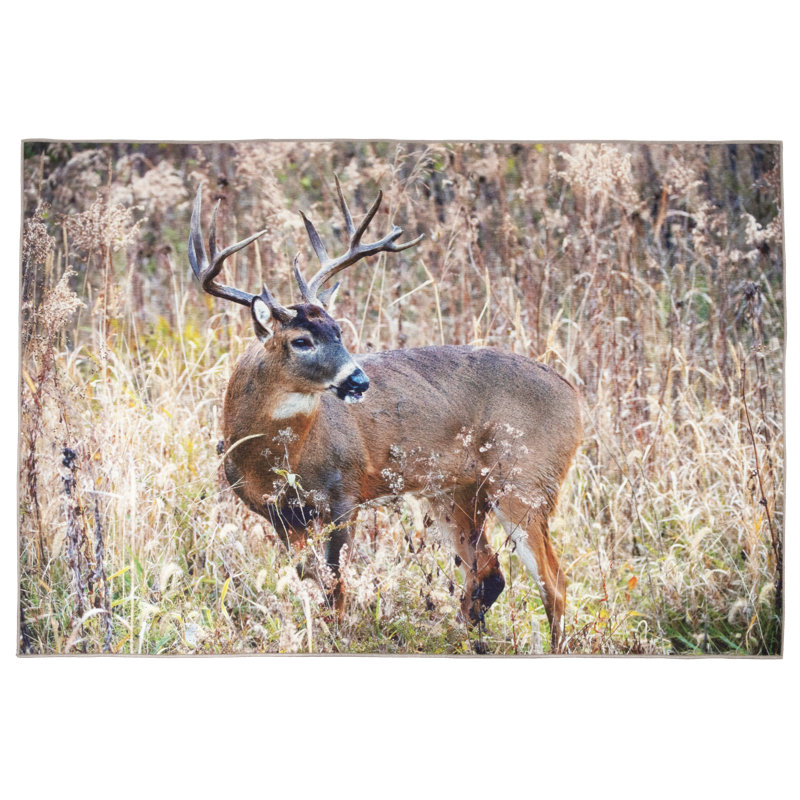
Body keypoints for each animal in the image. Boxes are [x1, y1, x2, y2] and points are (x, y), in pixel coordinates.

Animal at [188, 177, 582, 651]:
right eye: (301, 340)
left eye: (338, 330)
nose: (358, 380)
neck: (275, 458)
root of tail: (573, 395)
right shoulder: (278, 515)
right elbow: (308, 581)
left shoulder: (343, 496)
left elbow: (335, 586)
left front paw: (337, 639)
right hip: (455, 491)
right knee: (487, 571)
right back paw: (472, 641)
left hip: (526, 480)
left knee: (554, 581)